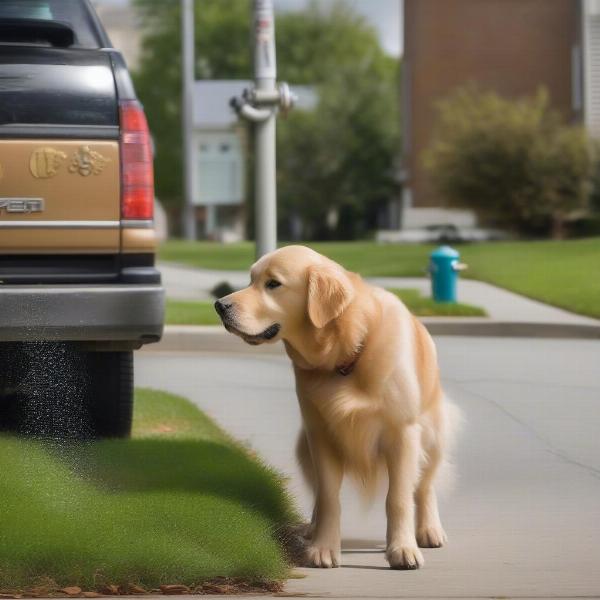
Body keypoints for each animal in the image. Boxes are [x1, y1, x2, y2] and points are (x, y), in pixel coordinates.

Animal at [216, 246, 454, 568]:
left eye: (273, 284)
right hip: (303, 447)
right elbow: (329, 497)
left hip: (432, 437)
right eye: (251, 279)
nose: (219, 305)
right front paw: (324, 547)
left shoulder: (403, 434)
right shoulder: (320, 435)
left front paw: (402, 548)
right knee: (319, 495)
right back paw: (312, 529)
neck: (346, 354)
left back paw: (429, 529)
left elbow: (398, 498)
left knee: (425, 485)